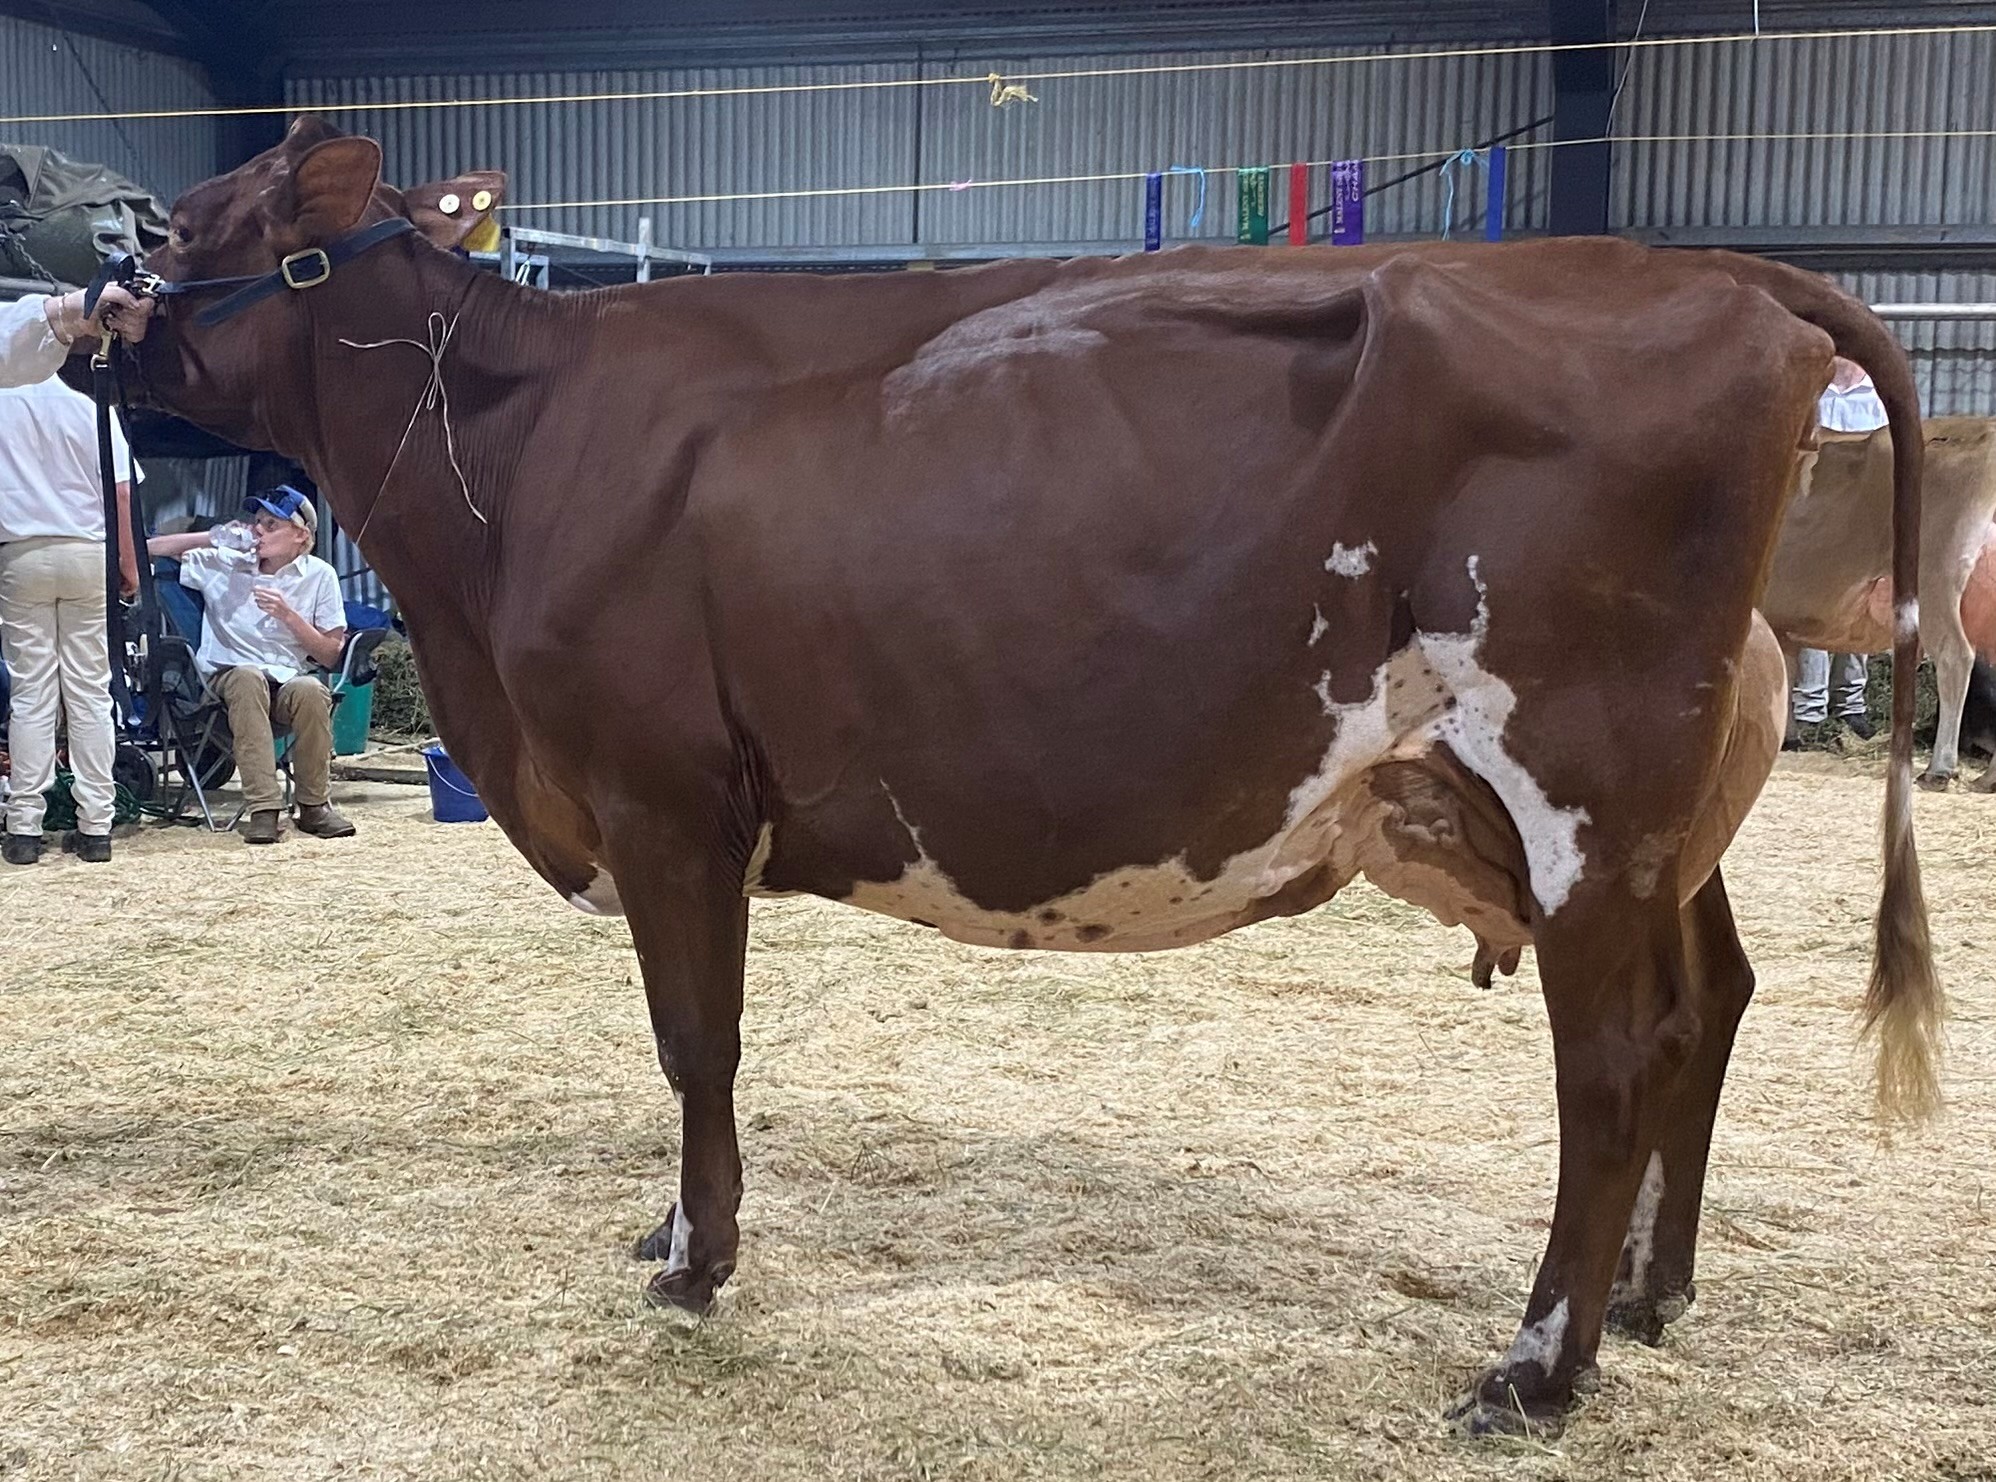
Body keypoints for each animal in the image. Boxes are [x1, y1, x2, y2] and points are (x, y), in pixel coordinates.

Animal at [109, 119, 1942, 1435]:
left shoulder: (664, 796)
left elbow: (696, 1040)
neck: (514, 454)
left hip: (1585, 792)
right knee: (1704, 1008)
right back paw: (1648, 1297)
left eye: (201, 219)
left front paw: (696, 1265)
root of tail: (1721, 278)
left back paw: (1537, 1368)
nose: (99, 289)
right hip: (1649, 831)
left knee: (1612, 1069)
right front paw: (667, 1236)